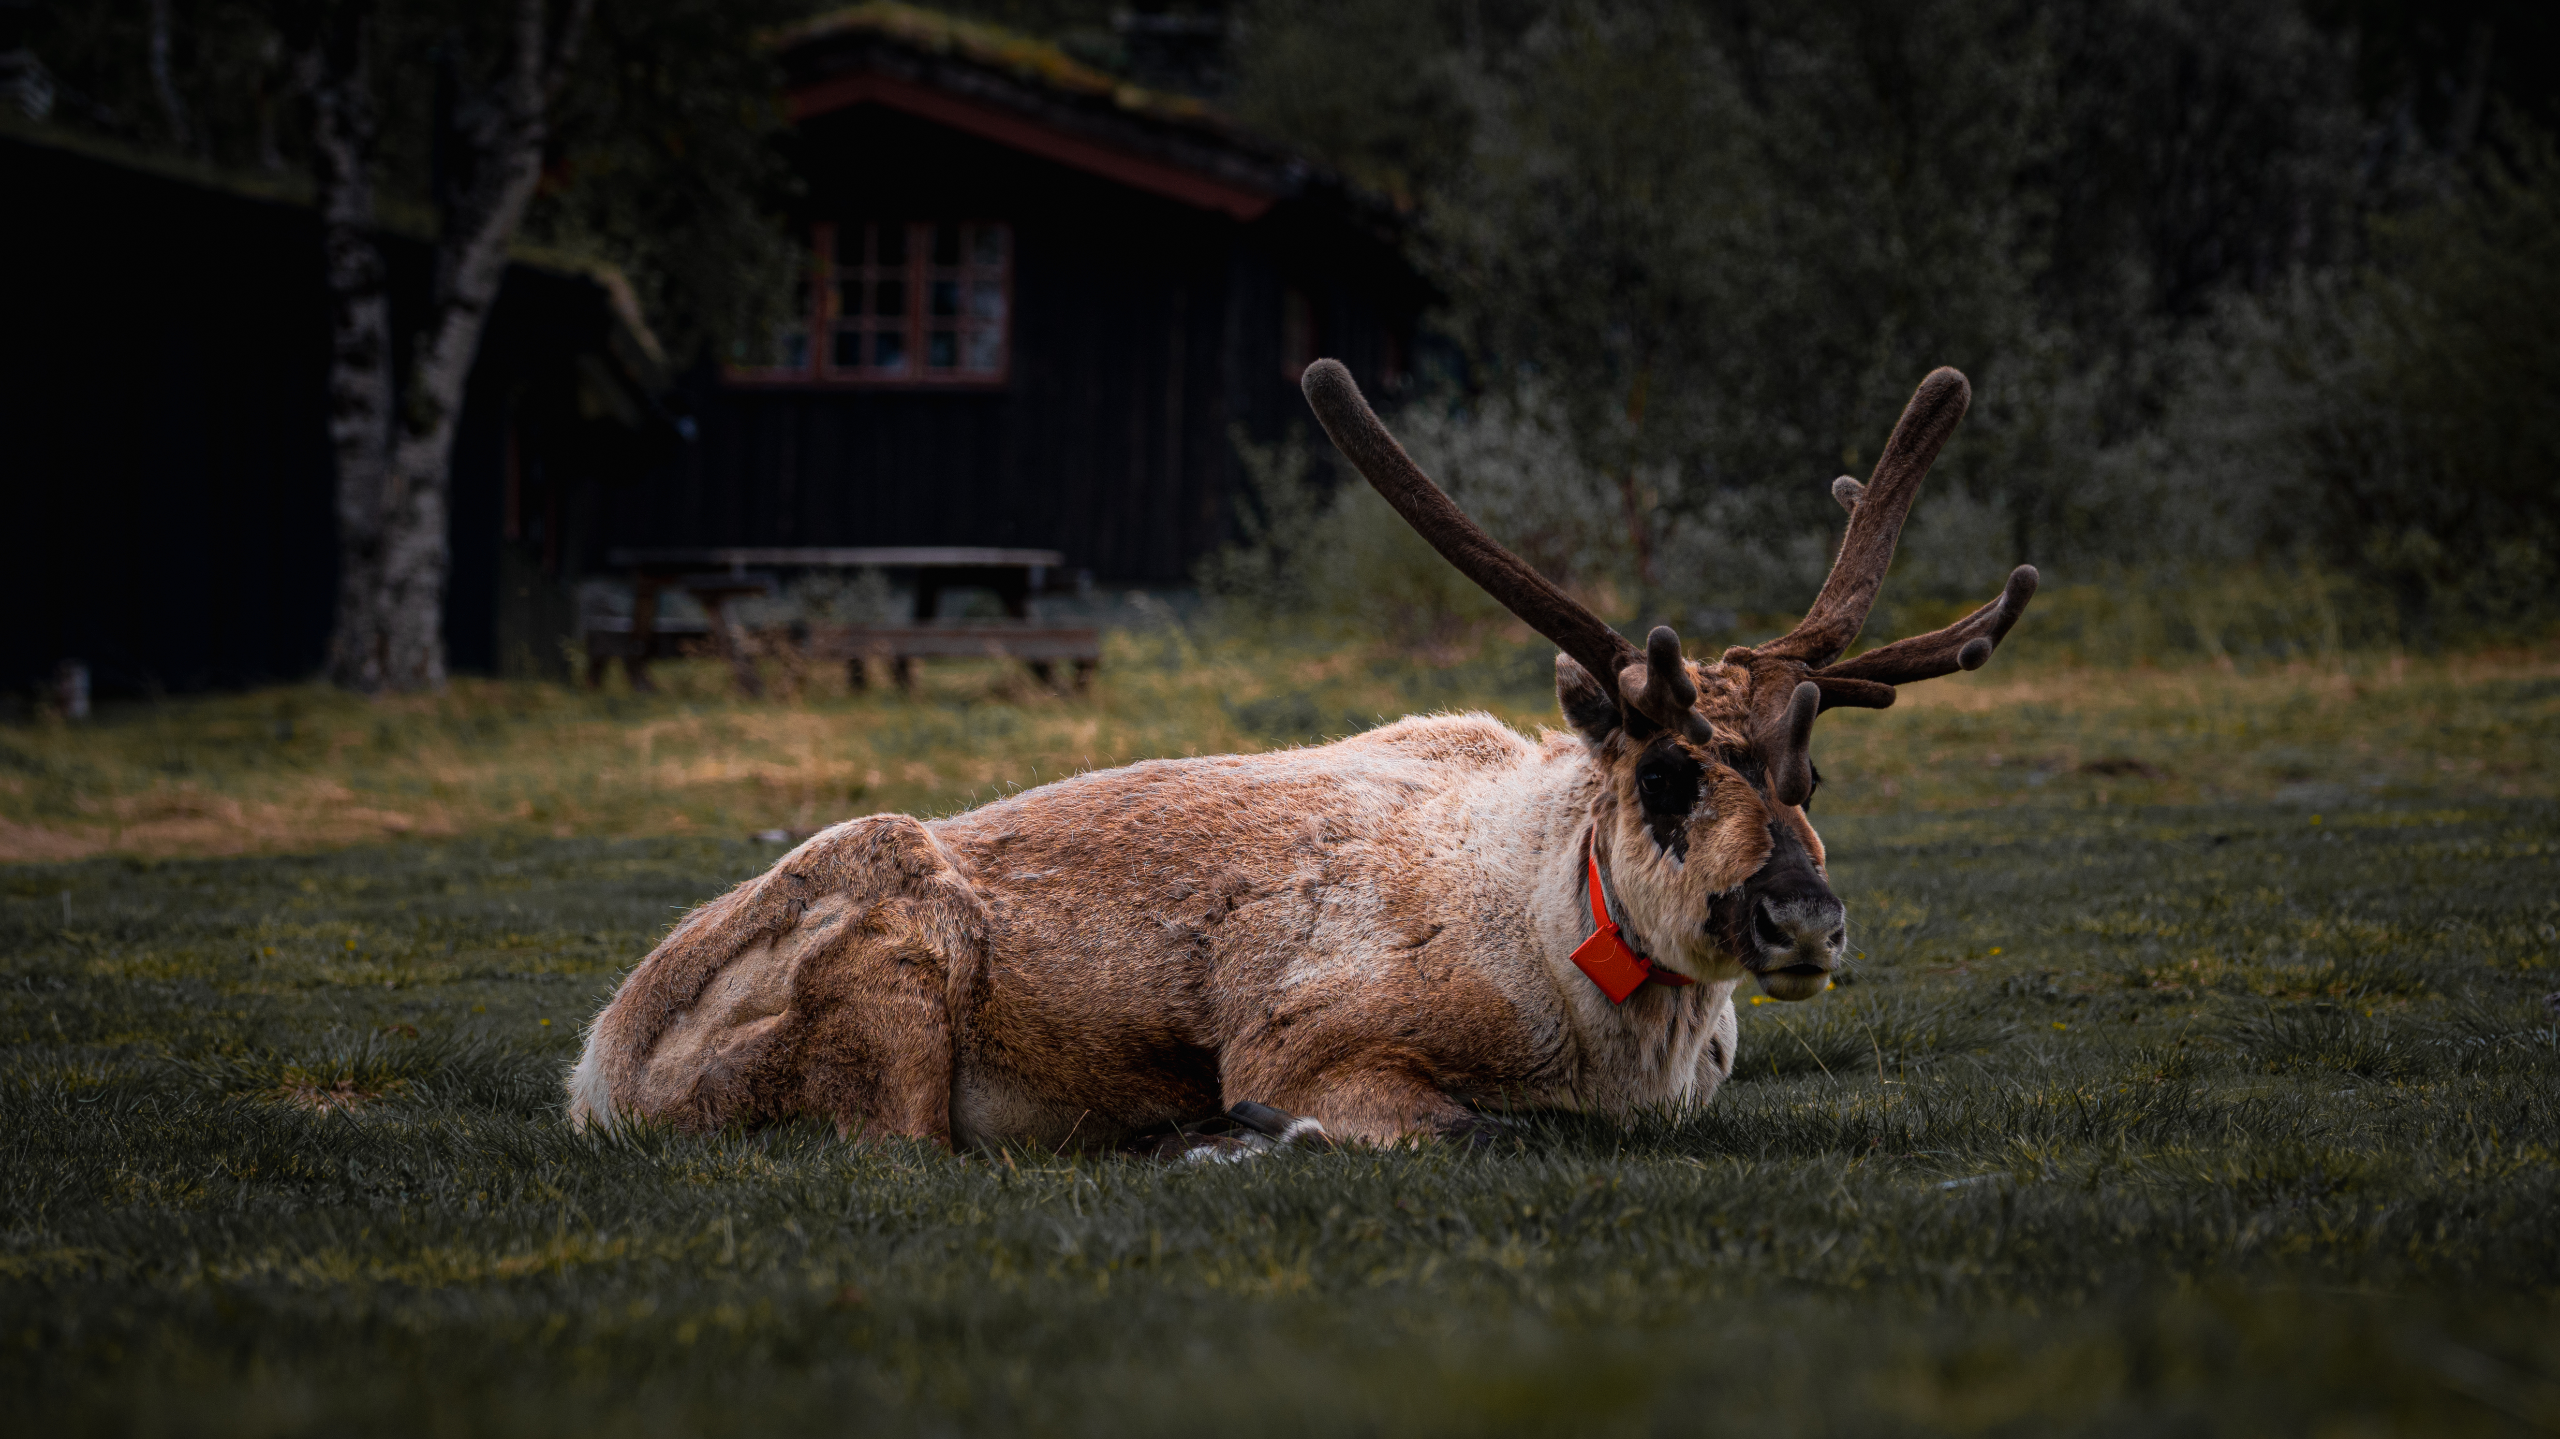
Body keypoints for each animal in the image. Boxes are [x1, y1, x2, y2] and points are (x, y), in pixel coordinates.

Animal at [565, 360, 2036, 1153]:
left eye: (1810, 774)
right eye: (1666, 775)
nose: (1804, 917)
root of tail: (598, 1066)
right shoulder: (1306, 1043)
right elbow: (1487, 1125)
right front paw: (1231, 1140)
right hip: (894, 972)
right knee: (906, 1147)